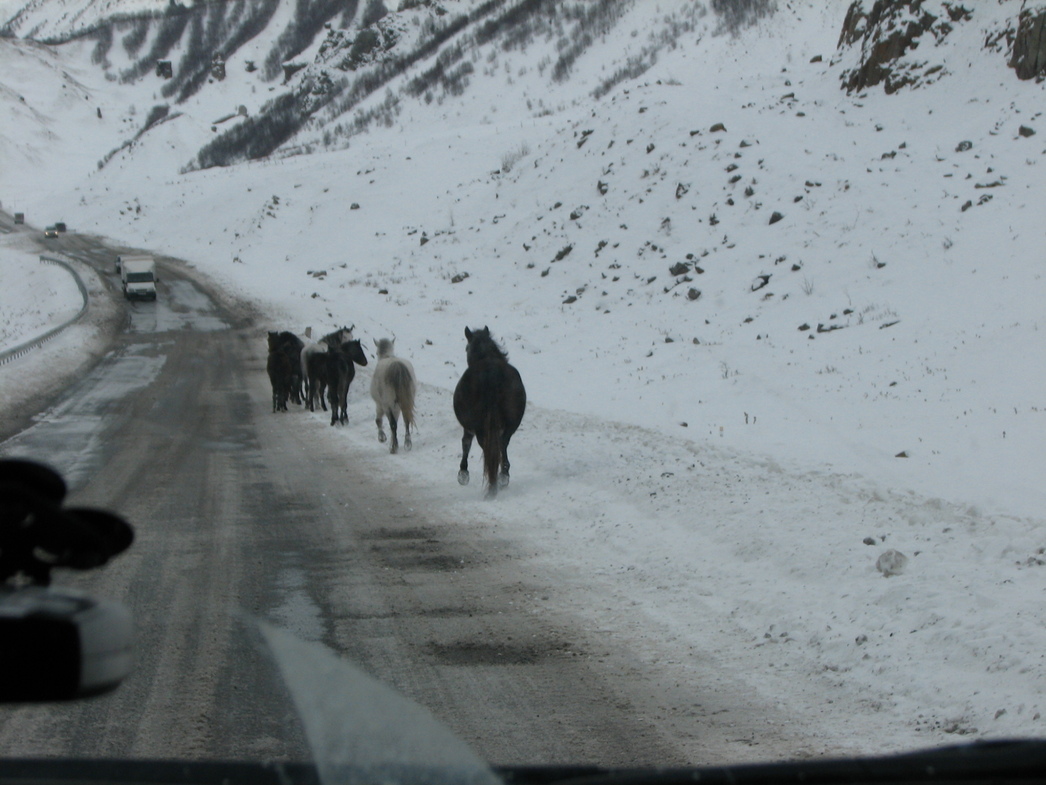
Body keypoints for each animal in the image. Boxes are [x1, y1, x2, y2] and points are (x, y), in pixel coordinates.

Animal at [453, 326, 527, 500]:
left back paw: (492, 487)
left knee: (489, 451)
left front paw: (463, 474)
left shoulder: (469, 426)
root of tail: (492, 374)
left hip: (481, 428)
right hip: (510, 425)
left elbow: (466, 443)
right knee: (503, 445)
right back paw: (503, 478)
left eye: (466, 347)